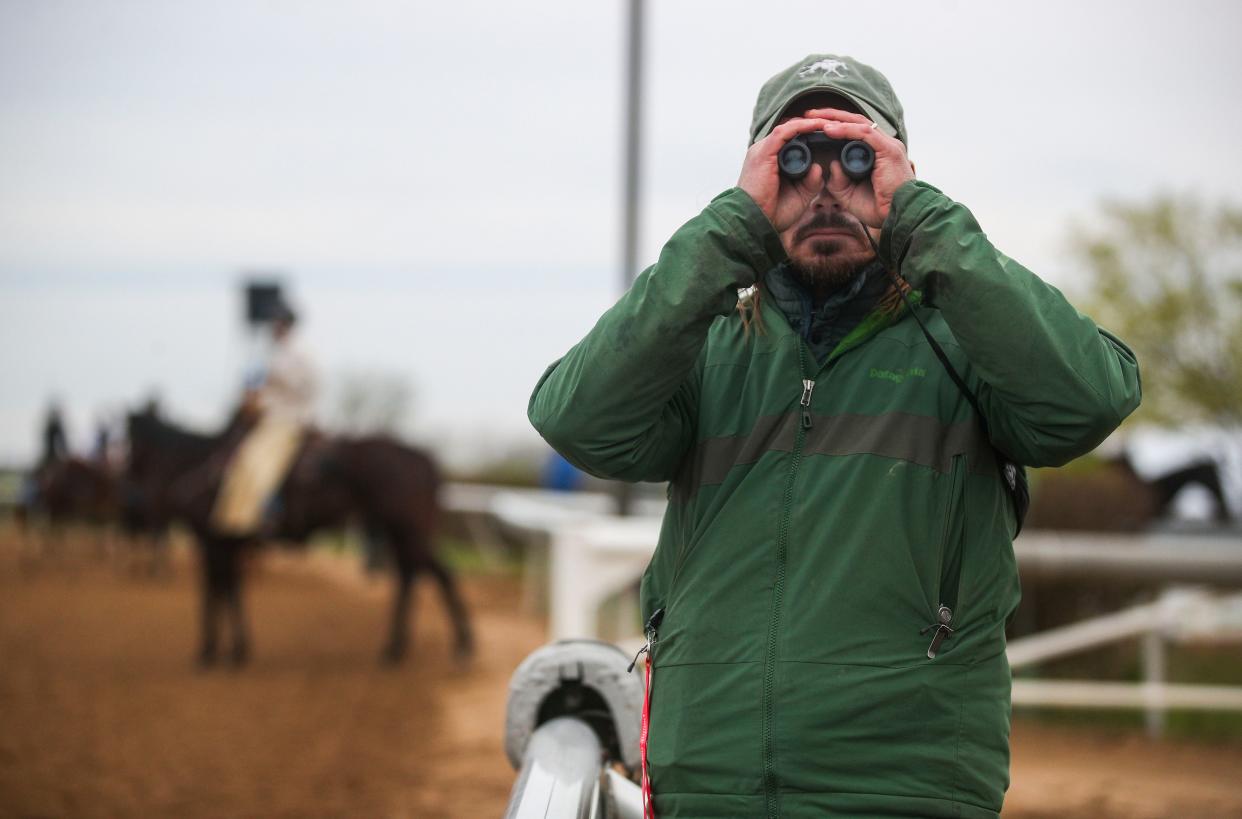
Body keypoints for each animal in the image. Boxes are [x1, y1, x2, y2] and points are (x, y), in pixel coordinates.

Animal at [124, 407, 474, 671]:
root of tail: (424, 458)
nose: (128, 488)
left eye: (126, 441)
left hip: (405, 530)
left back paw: (453, 646)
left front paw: (213, 652)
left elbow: (217, 591)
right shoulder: (224, 544)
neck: (200, 465)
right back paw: (405, 647)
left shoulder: (214, 541)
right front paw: (233, 650)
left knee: (429, 576)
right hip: (400, 531)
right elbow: (227, 590)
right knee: (420, 575)